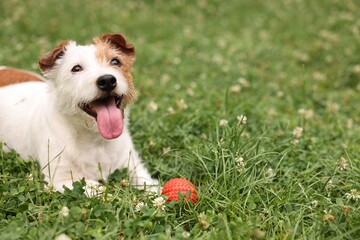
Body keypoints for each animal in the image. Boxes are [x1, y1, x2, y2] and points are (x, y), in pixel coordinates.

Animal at [0, 33, 159, 193]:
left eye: (115, 61)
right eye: (76, 68)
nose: (107, 80)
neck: (94, 138)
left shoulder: (134, 166)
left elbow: (151, 186)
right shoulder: (61, 180)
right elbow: (99, 190)